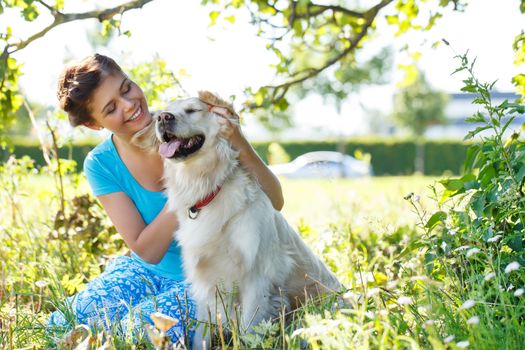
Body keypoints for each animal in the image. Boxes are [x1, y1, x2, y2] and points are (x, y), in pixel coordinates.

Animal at [133, 91, 342, 348]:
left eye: (192, 110)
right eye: (162, 113)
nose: (163, 118)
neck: (208, 188)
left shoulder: (257, 277)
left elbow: (248, 330)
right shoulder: (205, 283)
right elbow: (200, 335)